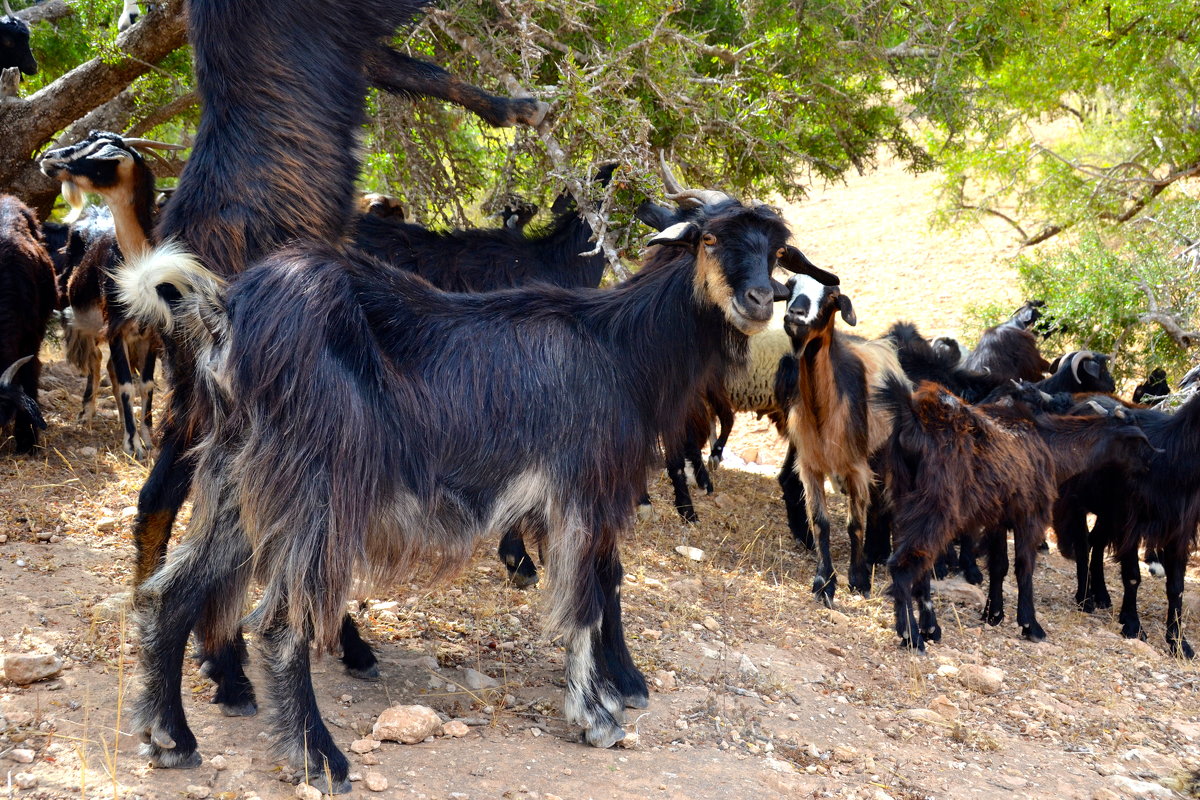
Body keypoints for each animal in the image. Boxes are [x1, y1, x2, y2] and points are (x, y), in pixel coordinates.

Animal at [119, 199, 835, 786]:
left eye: (776, 251)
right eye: (711, 239)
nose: (757, 300)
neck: (620, 350)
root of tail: (226, 314)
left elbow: (601, 586)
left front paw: (611, 691)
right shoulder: (582, 491)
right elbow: (586, 600)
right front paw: (597, 714)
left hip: (237, 480)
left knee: (168, 594)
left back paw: (170, 736)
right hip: (317, 485)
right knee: (279, 622)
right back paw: (318, 757)